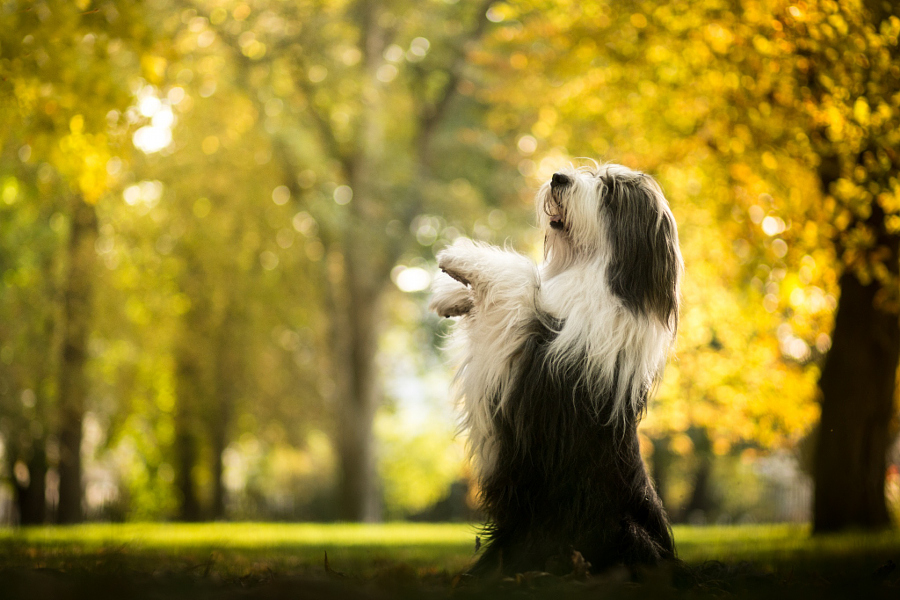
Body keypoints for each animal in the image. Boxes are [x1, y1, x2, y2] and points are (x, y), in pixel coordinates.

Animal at [428, 162, 684, 576]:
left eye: (609, 190)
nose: (558, 177)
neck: (599, 273)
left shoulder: (531, 346)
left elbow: (521, 276)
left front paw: (457, 256)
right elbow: (526, 280)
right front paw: (450, 298)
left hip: (613, 530)